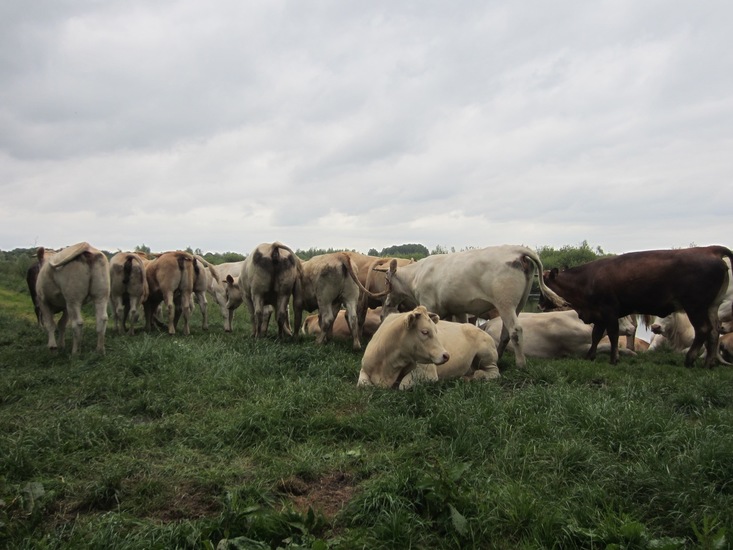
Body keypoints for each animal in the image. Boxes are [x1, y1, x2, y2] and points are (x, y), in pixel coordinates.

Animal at [382, 245, 567, 368]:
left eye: (387, 280)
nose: (386, 304)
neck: (416, 275)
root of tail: (517, 249)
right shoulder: (458, 309)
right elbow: (462, 325)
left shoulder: (428, 303)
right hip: (518, 304)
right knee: (506, 333)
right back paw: (498, 357)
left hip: (505, 302)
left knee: (515, 330)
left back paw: (521, 364)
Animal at [483, 310, 640, 359]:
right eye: (620, 317)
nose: (633, 328)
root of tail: (489, 323)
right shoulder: (577, 349)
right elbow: (604, 347)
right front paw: (630, 352)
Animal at [542, 245, 733, 367]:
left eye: (545, 283)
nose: (540, 303)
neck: (587, 279)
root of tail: (709, 249)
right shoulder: (599, 314)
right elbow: (596, 335)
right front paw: (590, 355)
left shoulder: (609, 311)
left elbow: (612, 334)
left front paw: (614, 358)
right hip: (711, 307)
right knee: (714, 332)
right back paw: (708, 363)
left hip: (695, 306)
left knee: (703, 329)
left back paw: (690, 359)